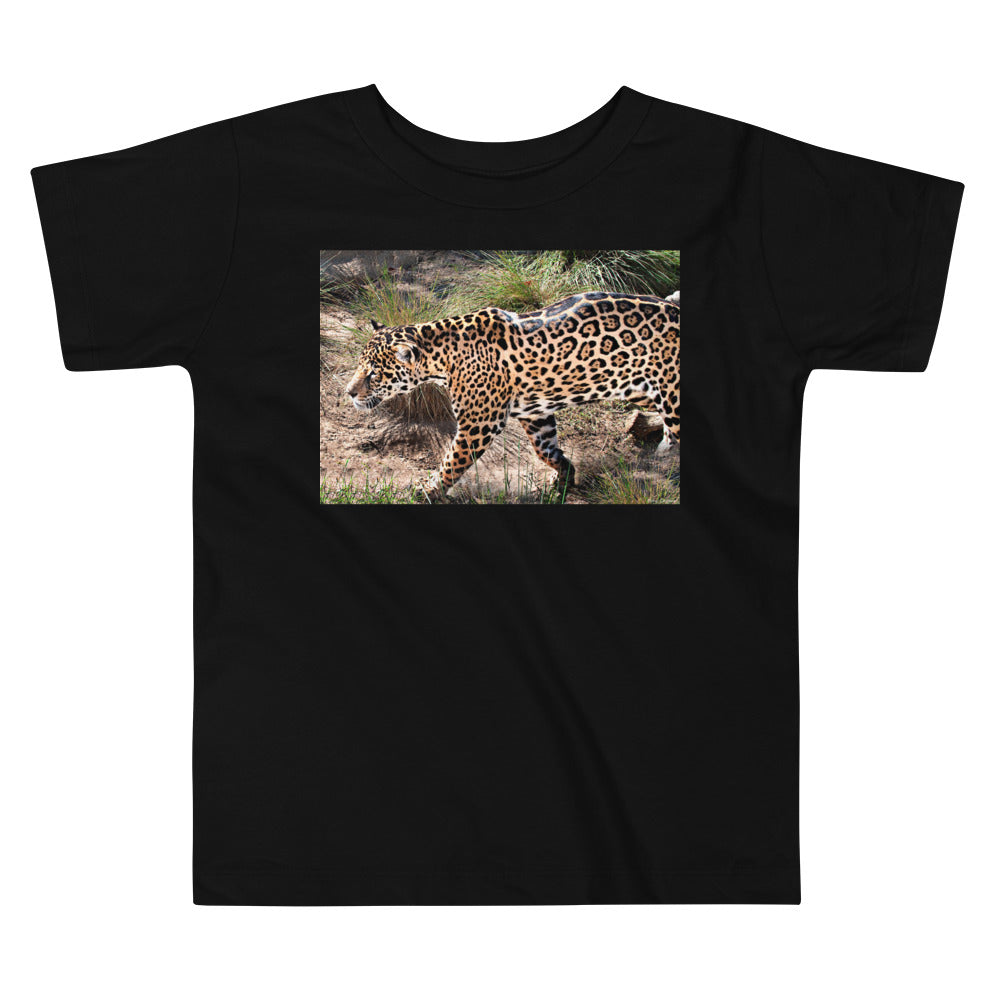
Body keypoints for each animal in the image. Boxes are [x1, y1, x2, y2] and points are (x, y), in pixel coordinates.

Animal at [345, 290, 680, 501]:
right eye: (360, 366)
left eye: (373, 374)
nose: (349, 392)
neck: (441, 357)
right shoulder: (536, 414)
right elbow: (545, 450)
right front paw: (563, 478)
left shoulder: (477, 425)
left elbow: (452, 461)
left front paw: (429, 490)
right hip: (641, 388)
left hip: (672, 393)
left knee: (675, 431)